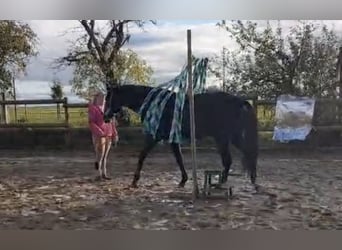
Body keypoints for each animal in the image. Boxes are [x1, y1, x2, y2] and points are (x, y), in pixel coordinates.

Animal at [103, 84, 258, 188]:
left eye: (110, 98)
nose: (105, 117)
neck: (158, 105)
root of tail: (240, 101)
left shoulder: (154, 137)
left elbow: (142, 156)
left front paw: (135, 181)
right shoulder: (172, 140)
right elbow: (179, 159)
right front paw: (183, 180)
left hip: (223, 138)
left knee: (231, 159)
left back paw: (224, 183)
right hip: (232, 137)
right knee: (244, 154)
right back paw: (250, 179)